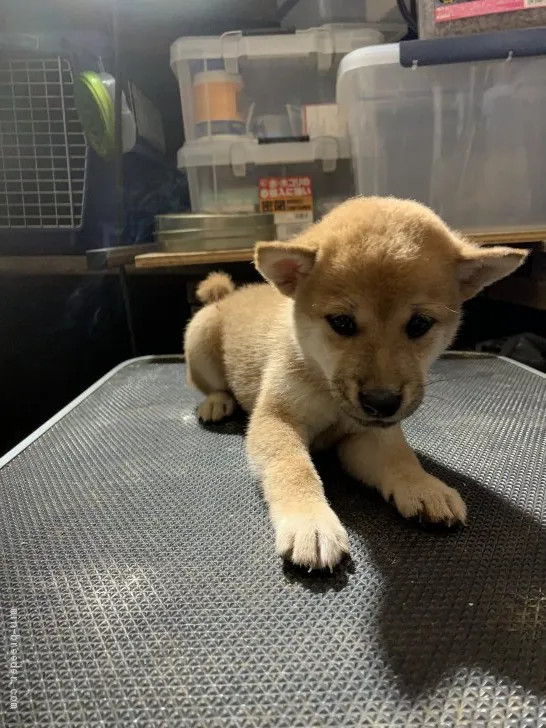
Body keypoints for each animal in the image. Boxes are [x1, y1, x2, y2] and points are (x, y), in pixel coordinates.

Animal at [185, 196, 524, 572]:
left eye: (420, 324)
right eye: (342, 322)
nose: (382, 402)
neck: (325, 385)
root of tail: (228, 296)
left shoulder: (365, 435)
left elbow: (400, 459)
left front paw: (424, 486)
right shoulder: (277, 419)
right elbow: (294, 468)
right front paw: (310, 521)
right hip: (200, 338)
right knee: (211, 385)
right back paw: (217, 401)